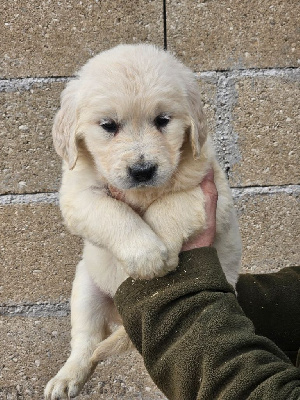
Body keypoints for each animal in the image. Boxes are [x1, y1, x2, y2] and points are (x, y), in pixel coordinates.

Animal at [44, 43, 241, 400]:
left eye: (162, 120)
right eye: (108, 125)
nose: (142, 170)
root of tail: (122, 318)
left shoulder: (207, 189)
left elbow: (168, 206)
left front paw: (159, 258)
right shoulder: (77, 195)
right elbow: (112, 212)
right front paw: (146, 255)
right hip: (85, 286)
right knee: (85, 342)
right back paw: (68, 377)